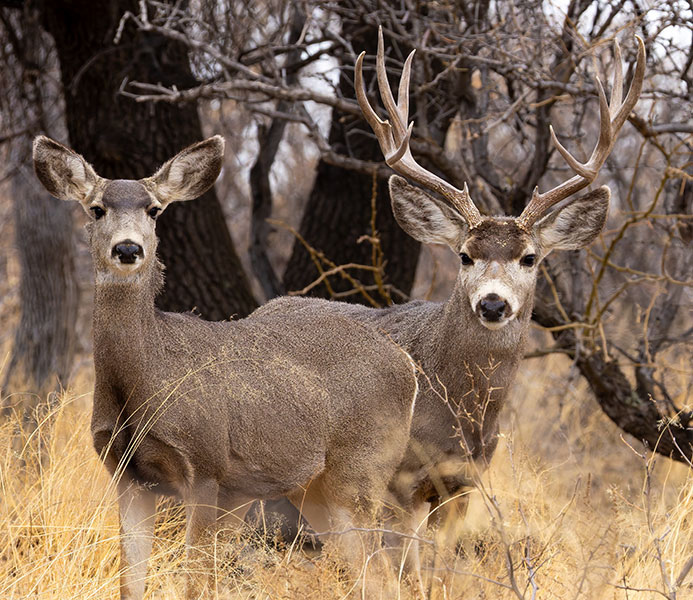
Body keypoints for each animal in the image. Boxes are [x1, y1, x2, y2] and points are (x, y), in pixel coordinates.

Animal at [32, 134, 420, 600]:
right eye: (96, 208)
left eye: (154, 209)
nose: (128, 249)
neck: (145, 378)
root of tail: (407, 364)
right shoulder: (127, 477)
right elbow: (131, 583)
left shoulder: (205, 465)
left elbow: (194, 583)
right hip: (314, 489)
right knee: (368, 573)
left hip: (362, 469)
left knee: (384, 573)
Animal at [256, 29, 645, 589]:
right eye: (465, 255)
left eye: (530, 258)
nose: (492, 302)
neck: (457, 412)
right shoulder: (393, 479)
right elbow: (401, 569)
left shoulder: (462, 482)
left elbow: (436, 569)